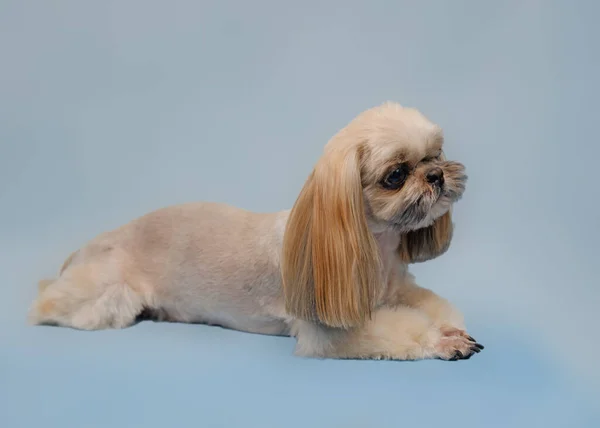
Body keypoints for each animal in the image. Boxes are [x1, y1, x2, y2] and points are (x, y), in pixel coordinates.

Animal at [30, 103, 486, 362]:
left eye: (436, 155)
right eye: (396, 175)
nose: (436, 175)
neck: (374, 247)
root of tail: (89, 247)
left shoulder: (398, 288)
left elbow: (431, 305)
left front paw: (448, 325)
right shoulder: (331, 330)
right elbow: (402, 330)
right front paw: (442, 340)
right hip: (105, 293)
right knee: (52, 301)